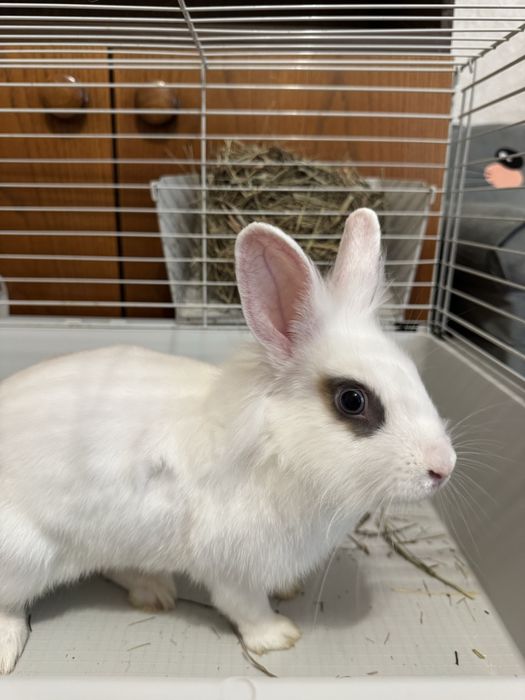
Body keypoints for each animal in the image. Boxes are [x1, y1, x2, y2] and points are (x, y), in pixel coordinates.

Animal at [0, 208, 456, 674]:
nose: (443, 467)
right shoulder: (233, 568)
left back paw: (154, 590)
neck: (278, 449)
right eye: (352, 400)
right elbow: (245, 607)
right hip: (24, 556)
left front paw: (289, 589)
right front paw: (278, 637)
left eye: (412, 373)